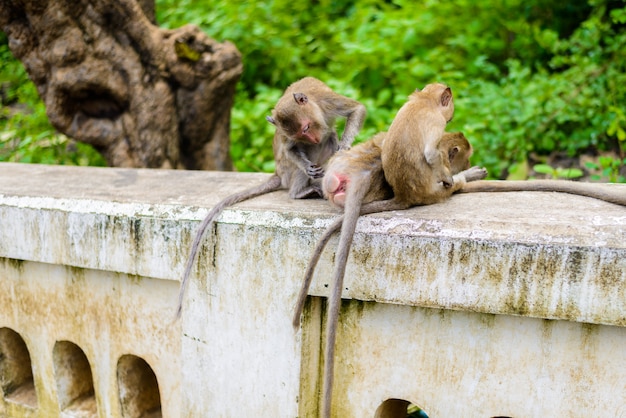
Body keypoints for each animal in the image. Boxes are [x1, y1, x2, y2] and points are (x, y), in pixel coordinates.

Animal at [173, 76, 366, 316]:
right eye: (301, 132)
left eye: (306, 127)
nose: (311, 138)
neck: (314, 106)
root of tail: (278, 174)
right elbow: (291, 148)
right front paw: (307, 165)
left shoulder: (327, 101)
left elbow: (356, 110)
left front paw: (345, 145)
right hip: (288, 170)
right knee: (304, 151)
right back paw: (300, 192)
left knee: (328, 136)